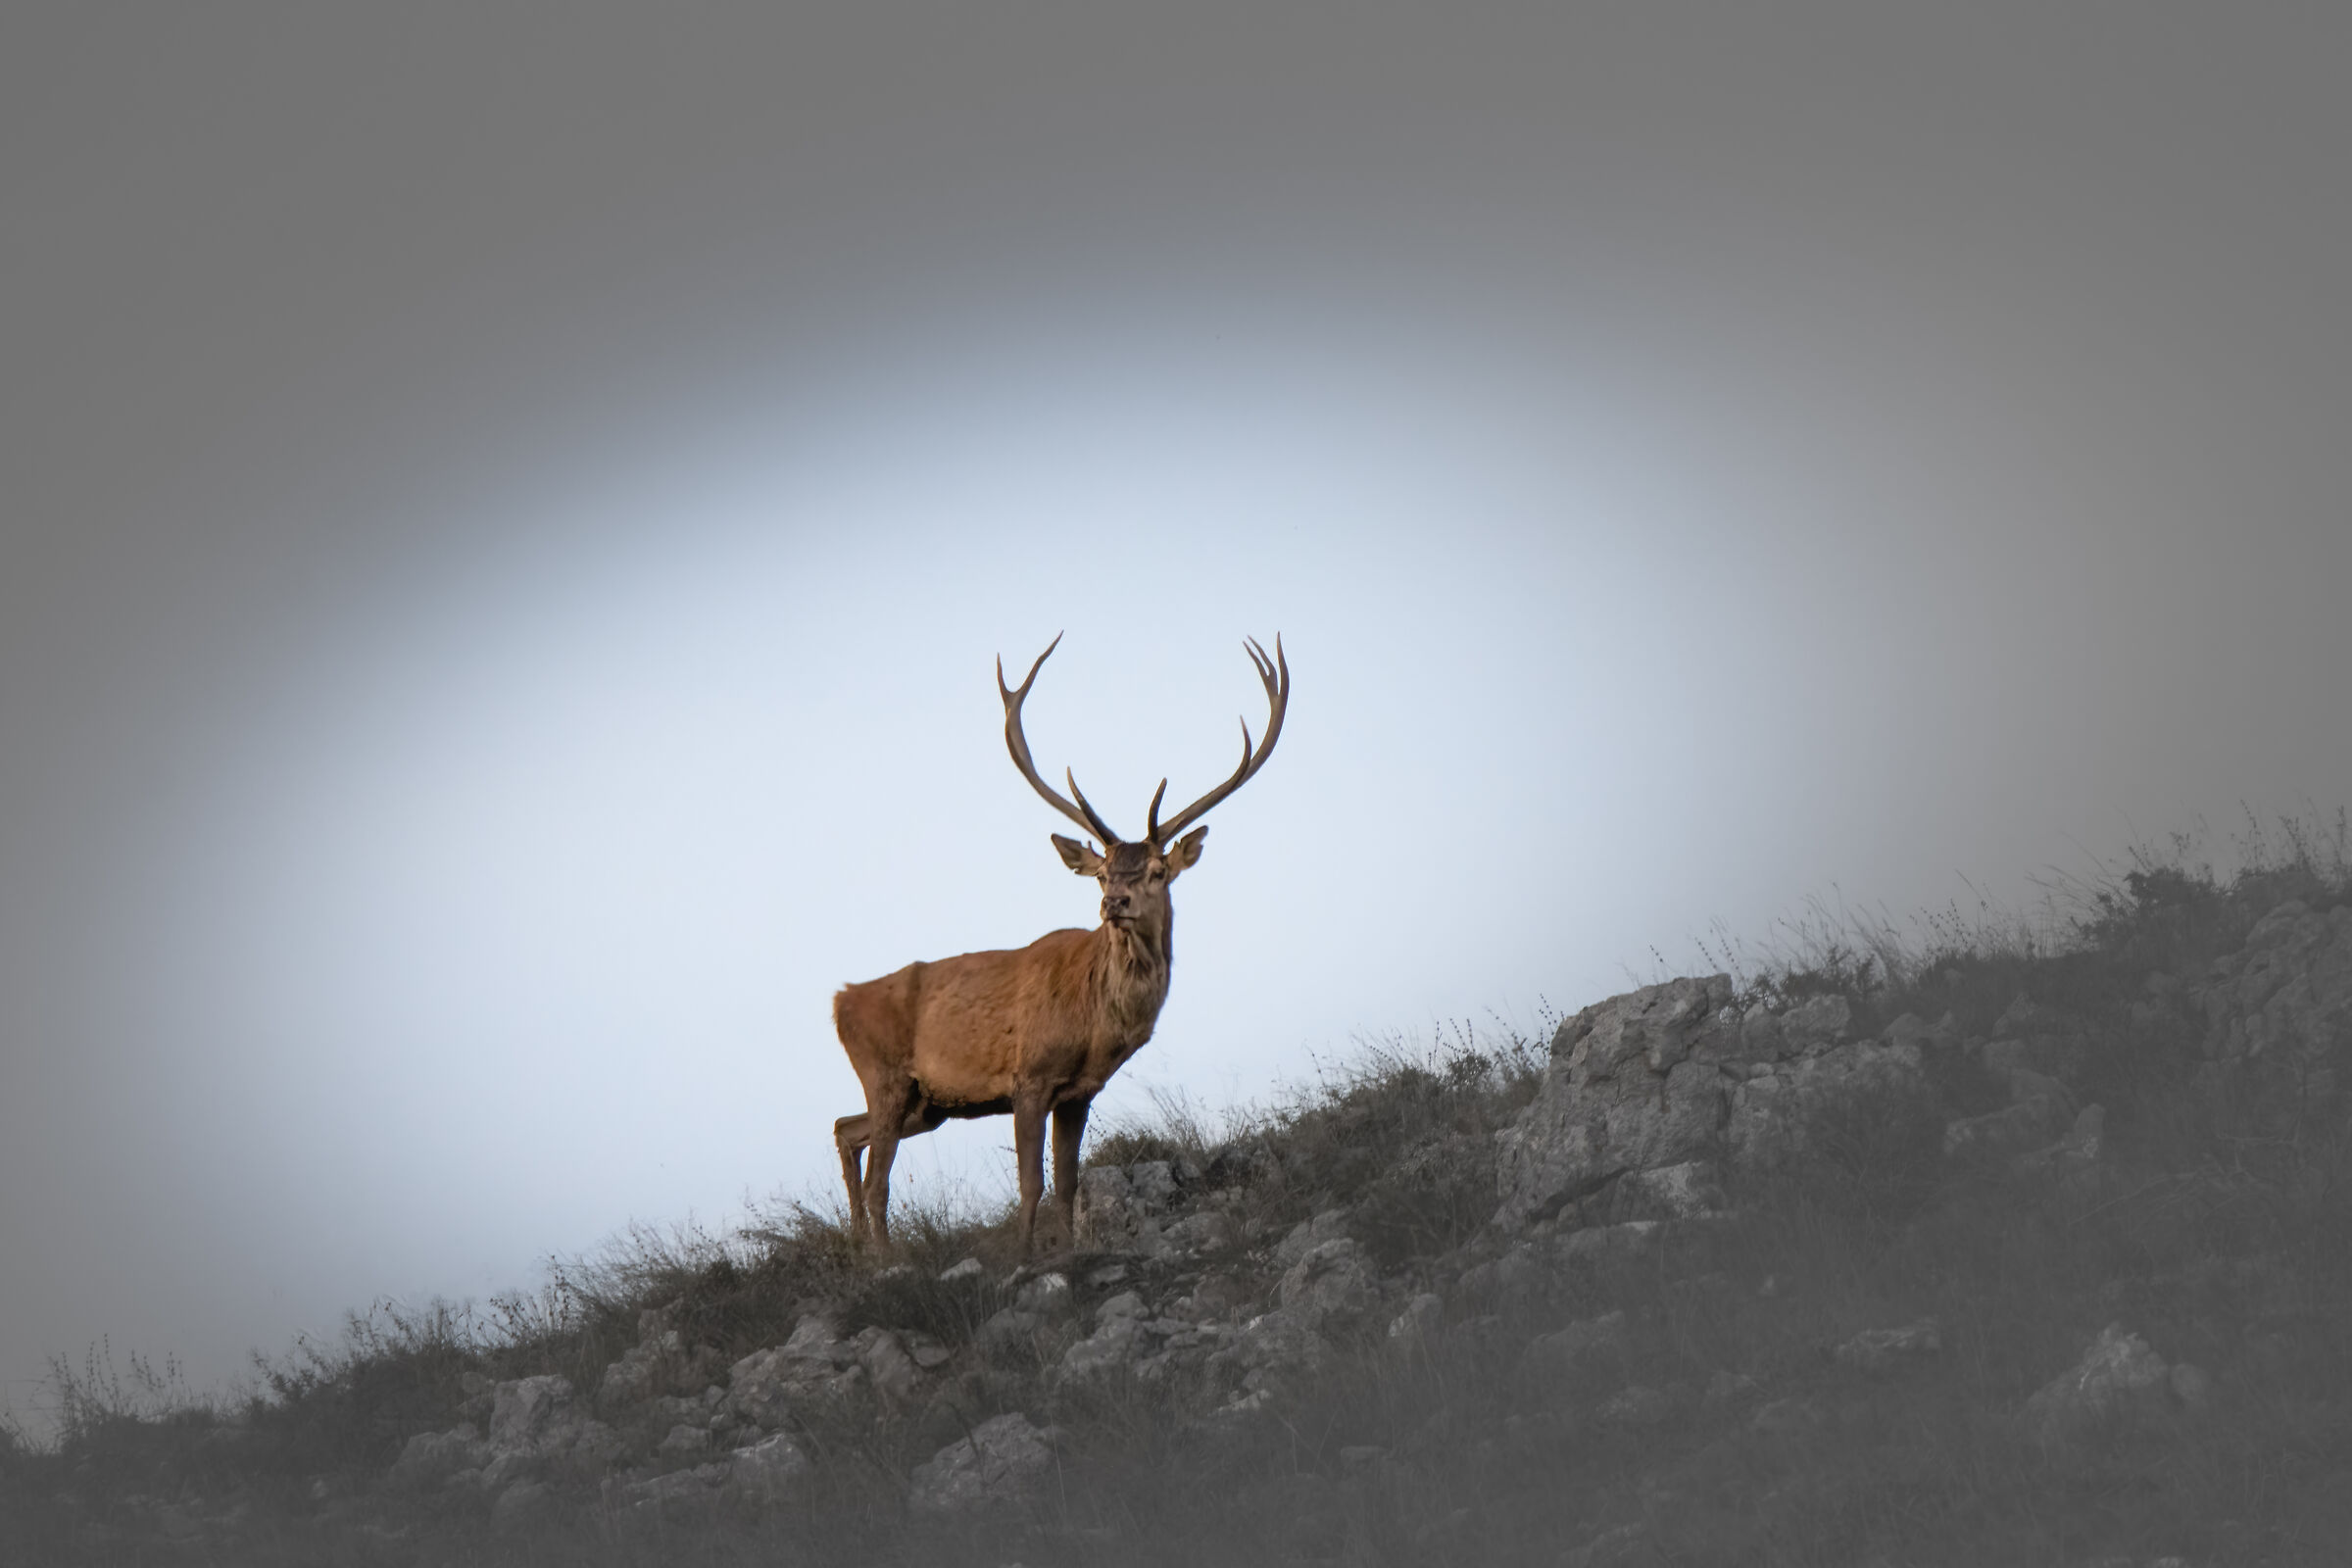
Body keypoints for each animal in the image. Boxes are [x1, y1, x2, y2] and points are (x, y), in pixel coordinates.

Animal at [830, 633, 1288, 1257]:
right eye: (1101, 874)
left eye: (1156, 872)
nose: (1114, 902)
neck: (1096, 1024)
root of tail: (840, 1001)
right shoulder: (1029, 1077)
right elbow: (1032, 1183)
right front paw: (1024, 1261)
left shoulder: (1079, 1093)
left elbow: (1069, 1184)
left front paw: (1068, 1252)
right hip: (886, 1076)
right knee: (878, 1176)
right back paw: (881, 1259)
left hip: (928, 1104)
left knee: (844, 1130)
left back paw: (858, 1247)